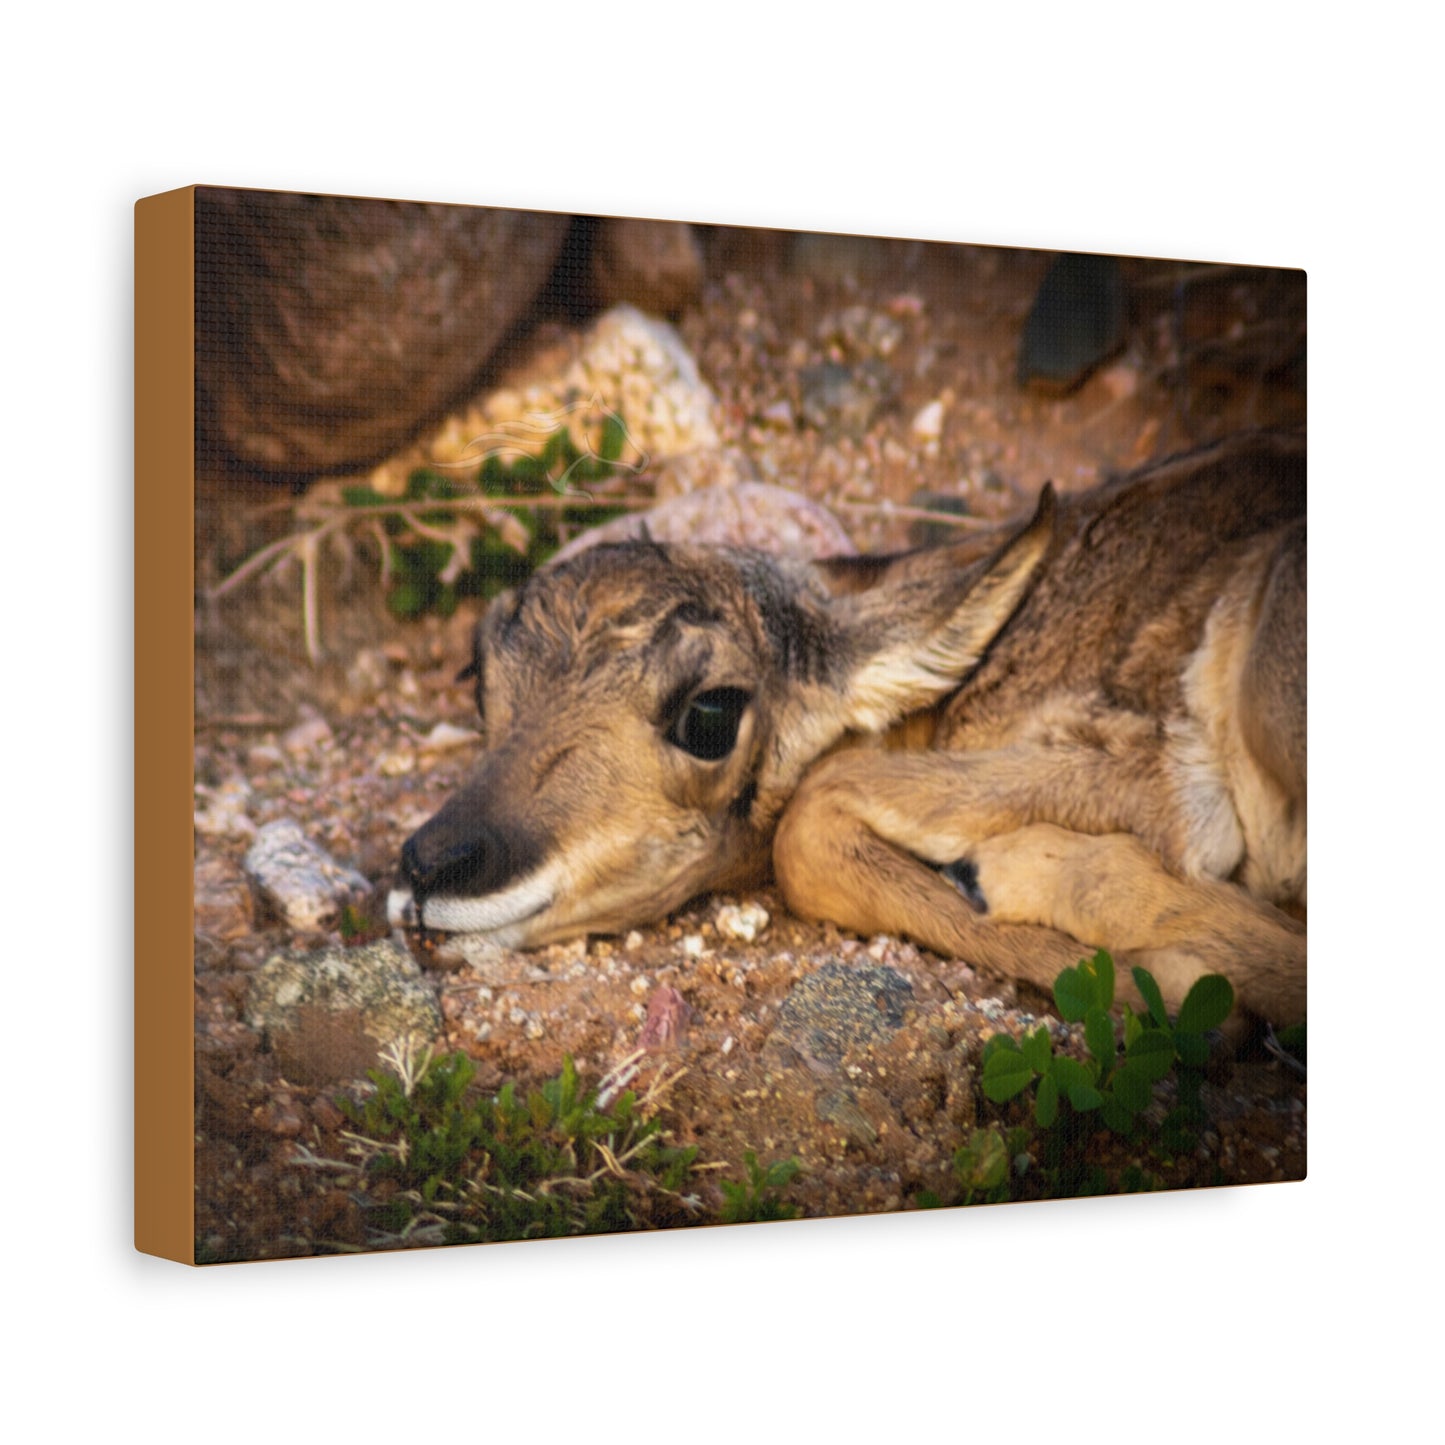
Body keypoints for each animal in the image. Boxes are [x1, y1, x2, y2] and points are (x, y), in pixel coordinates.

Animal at [390, 430, 1306, 1025]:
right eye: (479, 672)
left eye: (709, 712)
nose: (430, 867)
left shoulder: (1160, 782)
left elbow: (809, 819)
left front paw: (1175, 987)